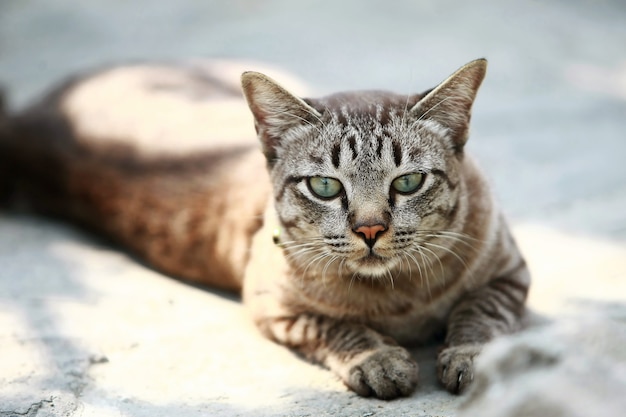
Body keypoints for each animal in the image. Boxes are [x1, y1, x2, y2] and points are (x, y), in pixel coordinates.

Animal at [0, 57, 528, 396]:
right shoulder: (272, 304)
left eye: (409, 181)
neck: (401, 300)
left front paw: (472, 357)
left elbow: (480, 313)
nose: (370, 230)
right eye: (324, 186)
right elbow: (337, 327)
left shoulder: (510, 273)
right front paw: (377, 359)